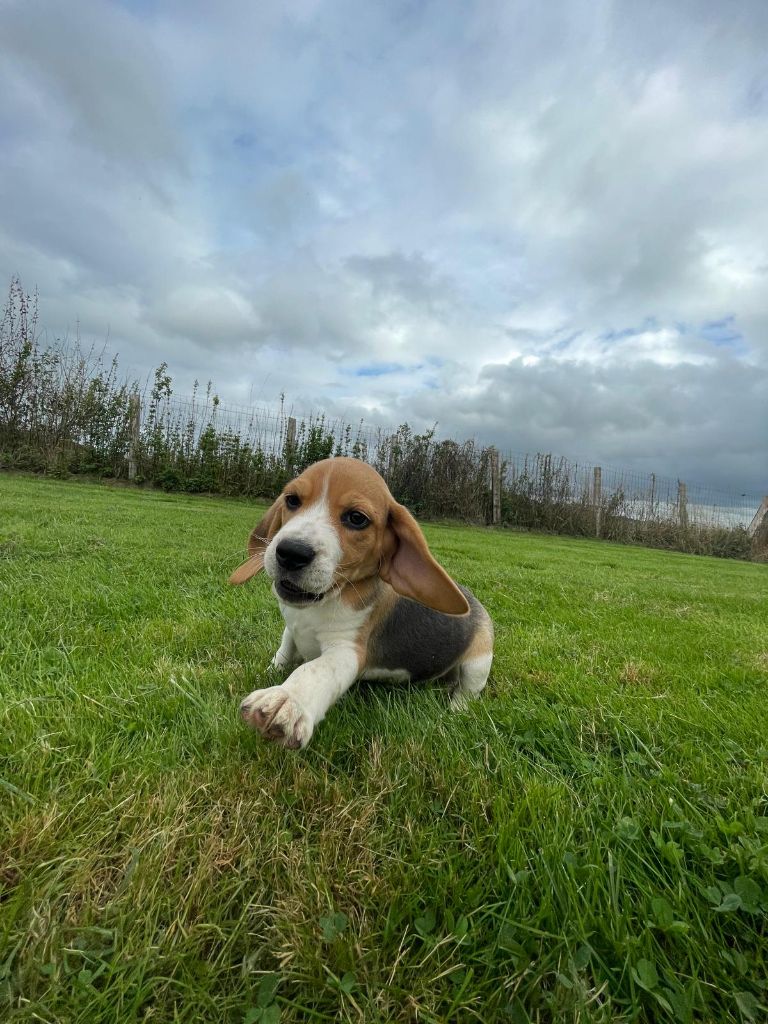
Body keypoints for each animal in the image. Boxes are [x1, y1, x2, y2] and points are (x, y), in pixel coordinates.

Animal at [228, 460, 493, 749]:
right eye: (292, 500)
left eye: (356, 518)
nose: (291, 552)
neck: (324, 602)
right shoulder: (292, 628)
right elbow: (284, 651)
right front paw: (271, 670)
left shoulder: (347, 650)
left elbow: (315, 669)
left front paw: (288, 700)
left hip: (479, 662)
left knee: (467, 692)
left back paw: (454, 712)